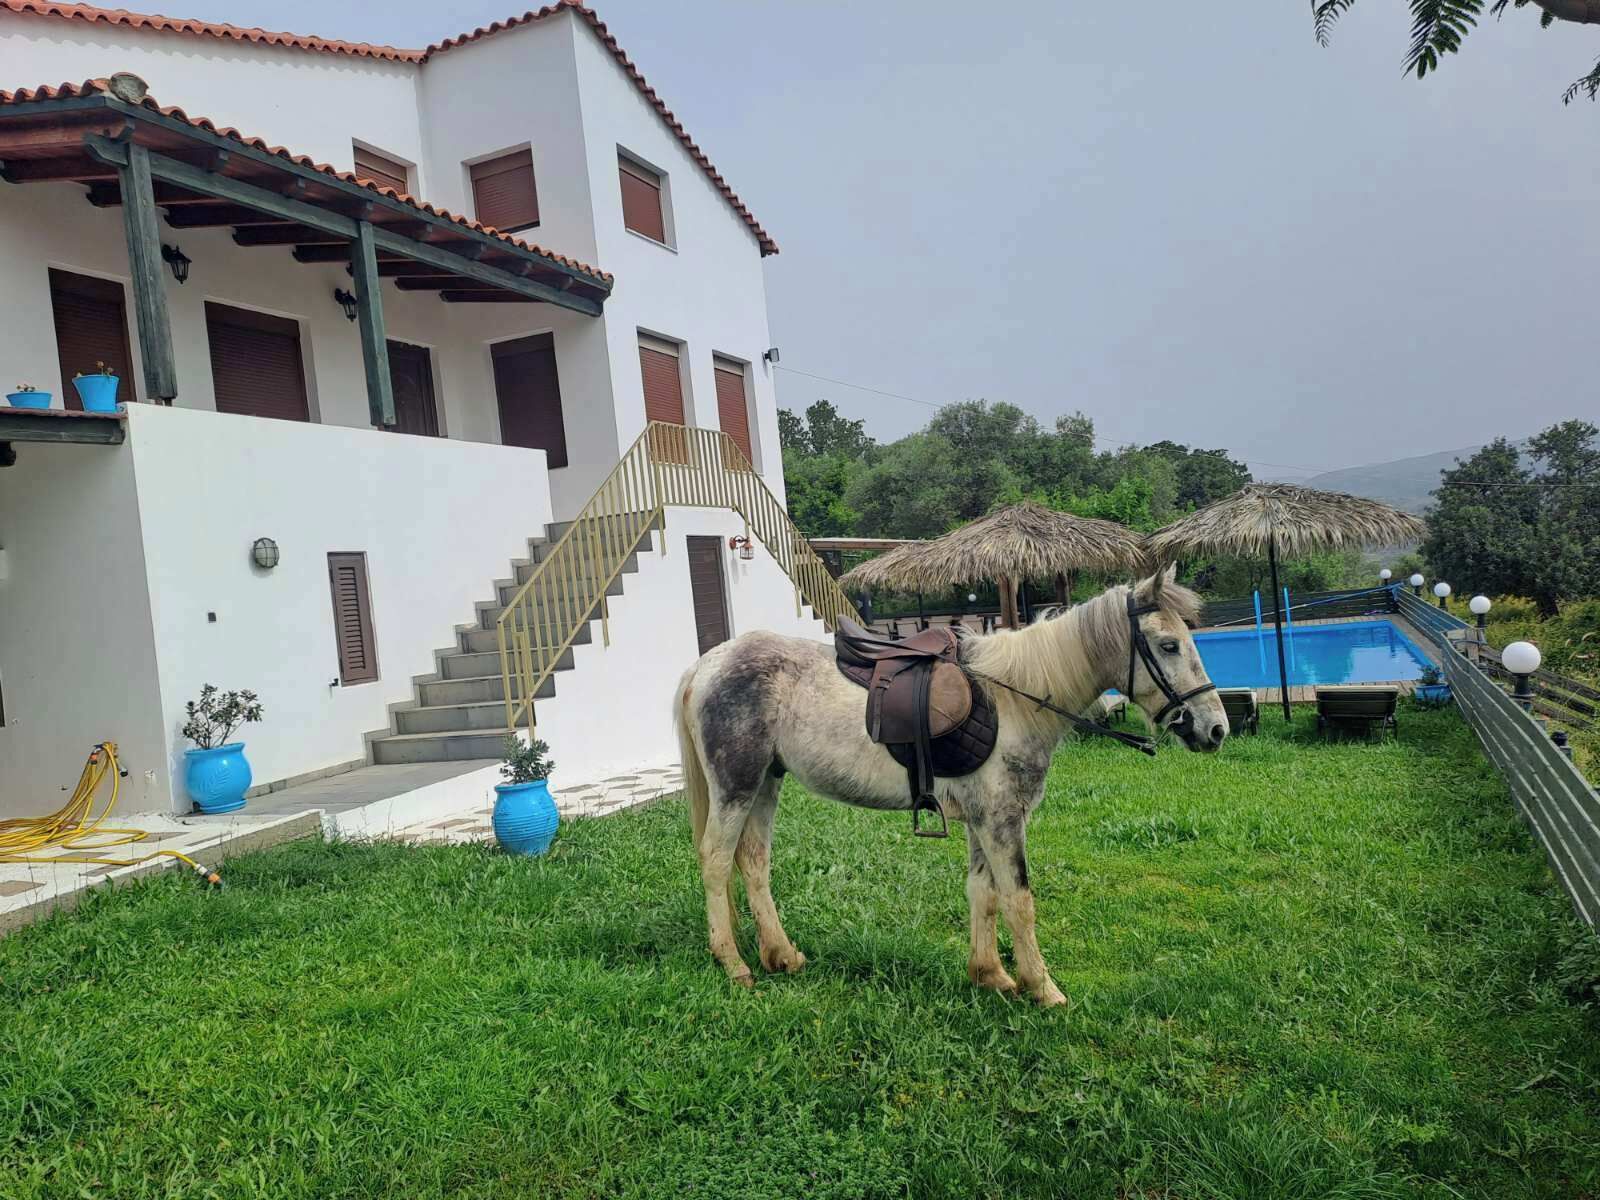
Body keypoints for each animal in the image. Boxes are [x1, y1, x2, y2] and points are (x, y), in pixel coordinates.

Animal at [672, 565, 1227, 1007]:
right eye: (1169, 645)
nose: (1215, 728)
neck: (1016, 699)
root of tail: (706, 664)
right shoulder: (1003, 820)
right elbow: (1019, 900)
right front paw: (1042, 988)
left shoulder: (983, 820)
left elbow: (983, 892)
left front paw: (991, 975)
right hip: (736, 786)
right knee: (716, 861)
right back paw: (733, 962)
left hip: (765, 784)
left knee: (753, 862)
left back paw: (781, 955)